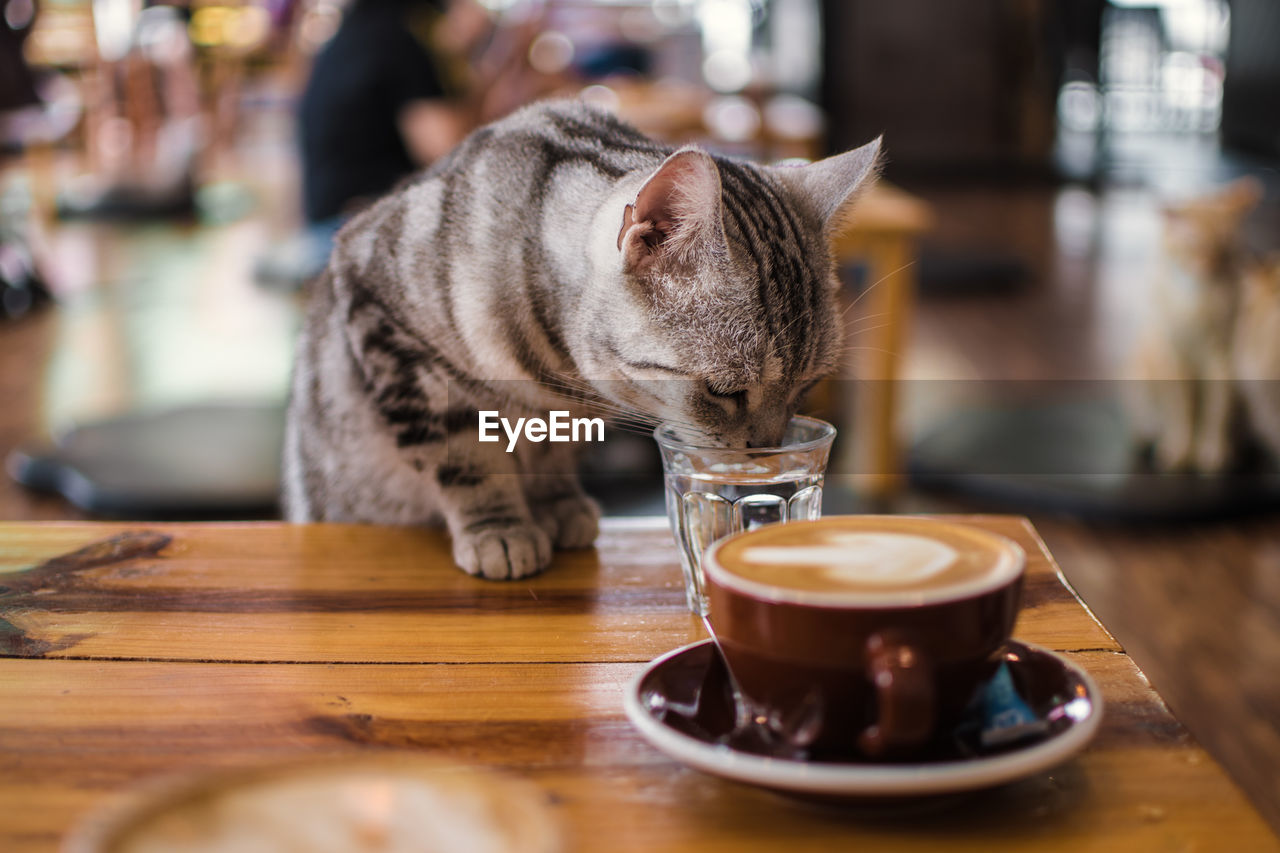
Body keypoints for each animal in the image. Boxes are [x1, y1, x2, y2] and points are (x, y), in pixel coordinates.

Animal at [282, 101, 880, 578]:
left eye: (807, 387)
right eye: (724, 391)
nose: (768, 452)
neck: (551, 367)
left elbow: (552, 450)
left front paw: (557, 503)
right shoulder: (390, 329)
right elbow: (465, 456)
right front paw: (498, 527)